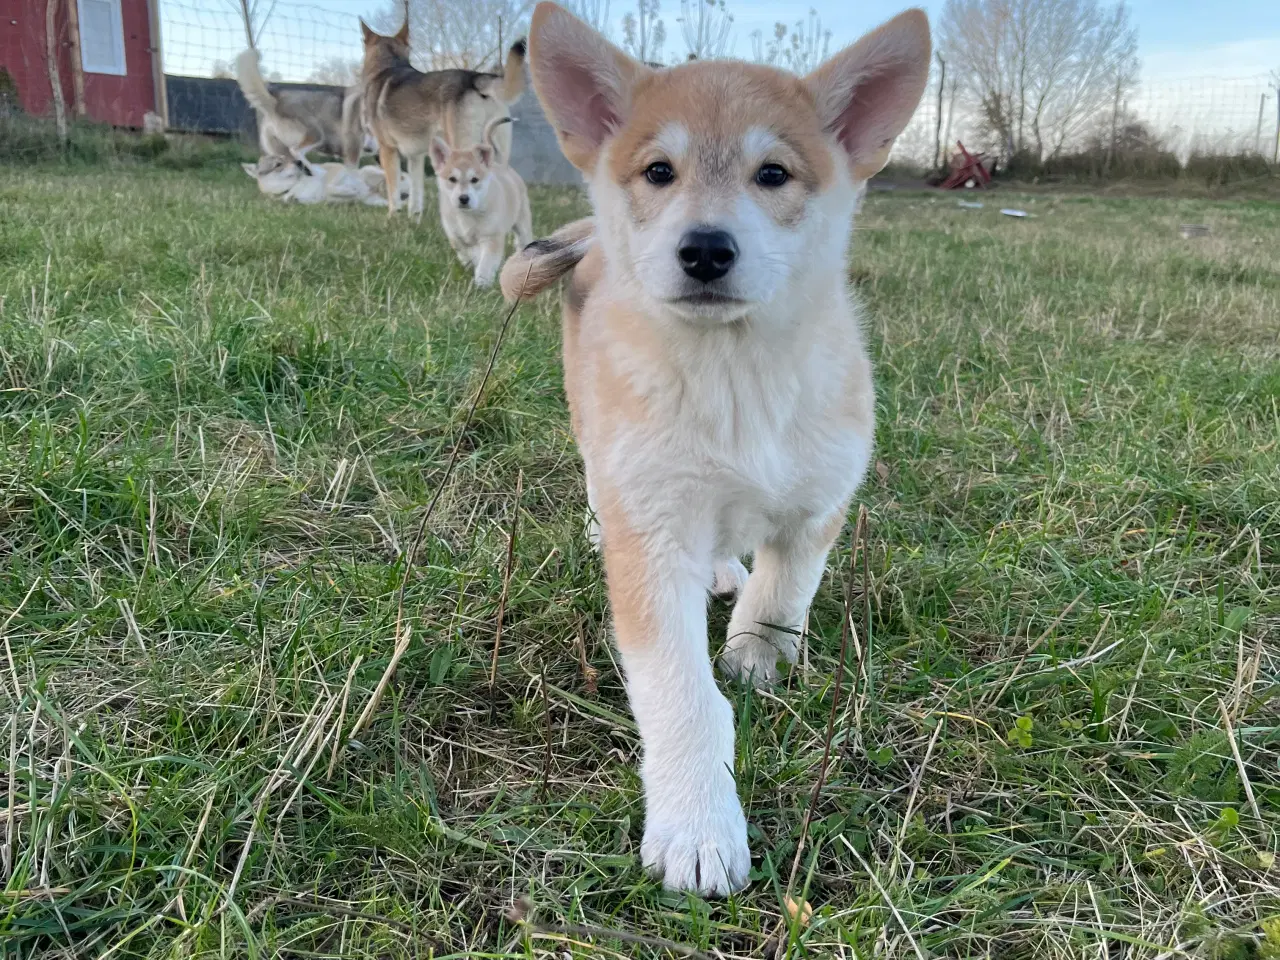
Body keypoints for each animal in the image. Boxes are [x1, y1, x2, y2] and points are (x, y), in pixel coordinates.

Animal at [355, 21, 524, 221]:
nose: (367, 150)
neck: (388, 66)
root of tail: (475, 78)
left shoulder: (388, 150)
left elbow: (393, 191)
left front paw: (392, 218)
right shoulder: (416, 156)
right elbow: (416, 194)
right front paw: (414, 219)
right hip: (498, 154)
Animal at [430, 115, 529, 285]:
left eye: (474, 179)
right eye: (452, 179)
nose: (464, 198)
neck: (468, 215)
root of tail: (500, 164)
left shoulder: (492, 236)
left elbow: (486, 261)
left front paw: (482, 282)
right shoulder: (455, 235)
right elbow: (465, 251)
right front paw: (472, 263)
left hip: (522, 223)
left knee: (523, 241)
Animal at [499, 3, 931, 901]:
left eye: (774, 175)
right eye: (659, 171)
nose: (705, 249)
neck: (735, 377)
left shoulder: (818, 501)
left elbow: (779, 600)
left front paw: (755, 663)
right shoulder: (655, 535)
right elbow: (682, 697)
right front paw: (697, 825)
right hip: (602, 434)